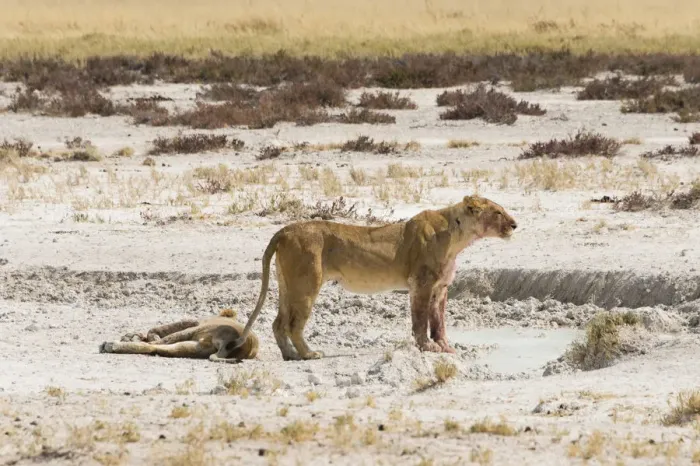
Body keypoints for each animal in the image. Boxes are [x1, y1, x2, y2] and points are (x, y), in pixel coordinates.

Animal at [98, 309, 258, 363]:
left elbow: (153, 330)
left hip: (194, 331)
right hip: (194, 347)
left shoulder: (194, 323)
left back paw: (110, 345)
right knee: (154, 348)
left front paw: (135, 336)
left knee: (154, 344)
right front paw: (132, 335)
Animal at [231, 195, 517, 361]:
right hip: (306, 285)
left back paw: (290, 355)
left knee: (278, 323)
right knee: (293, 324)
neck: (459, 238)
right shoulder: (421, 284)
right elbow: (420, 321)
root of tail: (285, 230)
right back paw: (310, 353)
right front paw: (427, 348)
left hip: (286, 284)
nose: (515, 224)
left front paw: (445, 348)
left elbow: (439, 323)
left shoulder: (441, 288)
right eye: (498, 212)